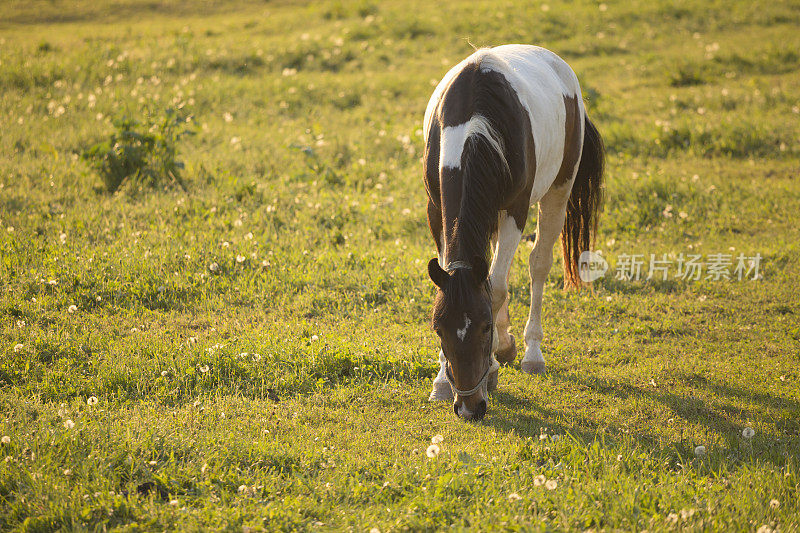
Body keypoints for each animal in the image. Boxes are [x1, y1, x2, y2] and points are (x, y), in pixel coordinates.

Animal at [422, 44, 604, 420]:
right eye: (439, 328)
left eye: (484, 327)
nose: (469, 408)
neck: (474, 125)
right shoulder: (436, 209)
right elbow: (478, 283)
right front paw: (442, 381)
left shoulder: (515, 211)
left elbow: (498, 288)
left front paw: (494, 362)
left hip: (559, 190)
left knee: (538, 265)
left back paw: (532, 353)